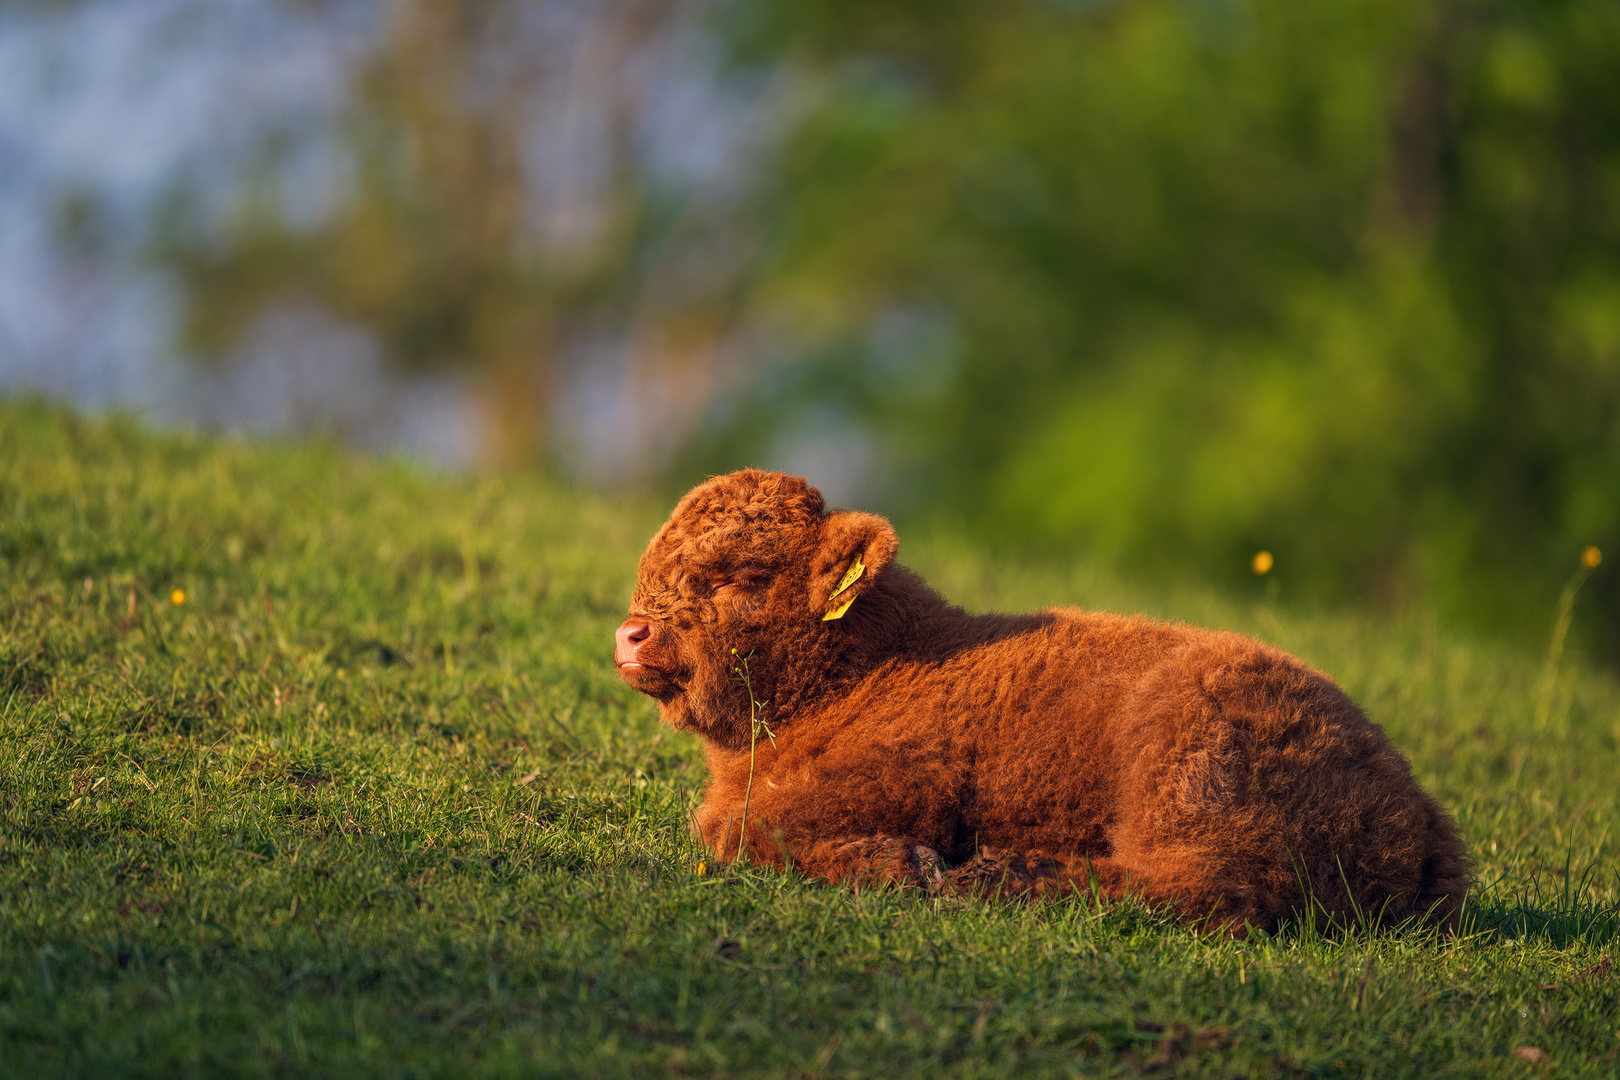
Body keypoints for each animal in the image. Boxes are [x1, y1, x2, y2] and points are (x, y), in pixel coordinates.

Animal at [612, 469, 1477, 932]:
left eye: (746, 575)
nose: (632, 634)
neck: (878, 664)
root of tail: (1416, 811)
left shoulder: (908, 777)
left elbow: (736, 828)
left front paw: (907, 865)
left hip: (1186, 786)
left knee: (1201, 885)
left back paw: (995, 876)